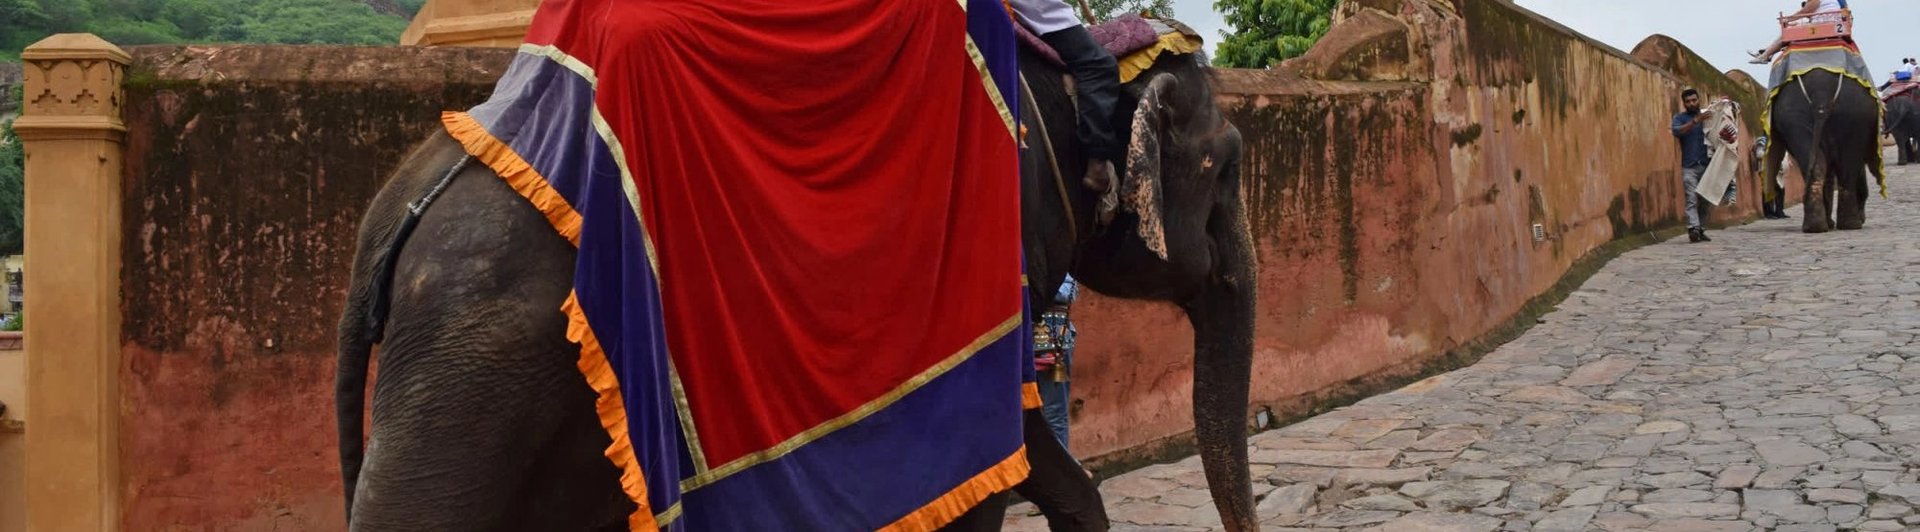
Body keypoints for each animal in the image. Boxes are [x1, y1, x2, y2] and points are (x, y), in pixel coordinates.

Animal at [1758, 68, 1881, 232]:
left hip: (1798, 114)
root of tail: (1820, 95)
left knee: (1823, 164)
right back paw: (1849, 225)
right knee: (1845, 166)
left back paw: (1817, 226)